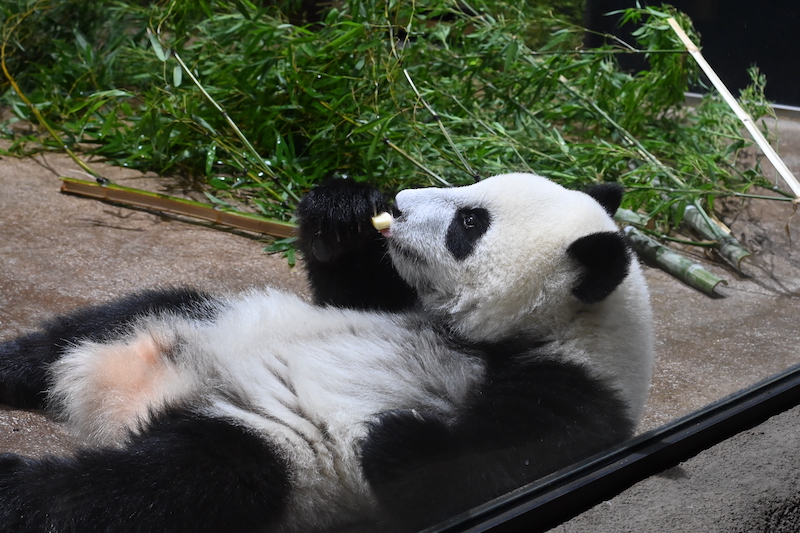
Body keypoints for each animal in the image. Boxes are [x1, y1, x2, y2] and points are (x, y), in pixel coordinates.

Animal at [0, 172, 652, 528]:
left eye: (469, 222)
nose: (400, 201)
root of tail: (119, 399)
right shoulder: (396, 304)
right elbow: (351, 290)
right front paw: (343, 210)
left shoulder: (576, 395)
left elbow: (488, 475)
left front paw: (398, 437)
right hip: (194, 318)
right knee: (91, 327)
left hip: (271, 451)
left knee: (144, 491)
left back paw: (19, 488)